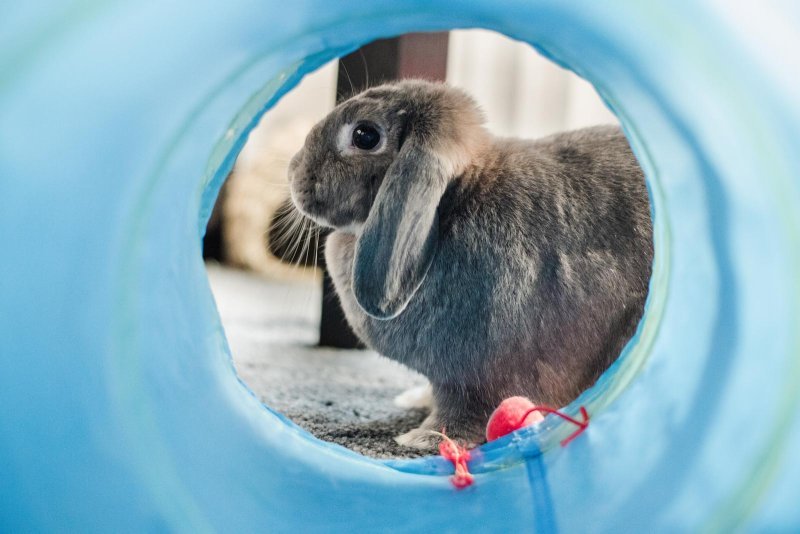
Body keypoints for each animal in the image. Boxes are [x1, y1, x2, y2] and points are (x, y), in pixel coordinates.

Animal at [288, 78, 648, 448]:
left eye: (364, 136)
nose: (293, 170)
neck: (454, 199)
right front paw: (414, 403)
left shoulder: (475, 379)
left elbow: (464, 409)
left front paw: (423, 438)